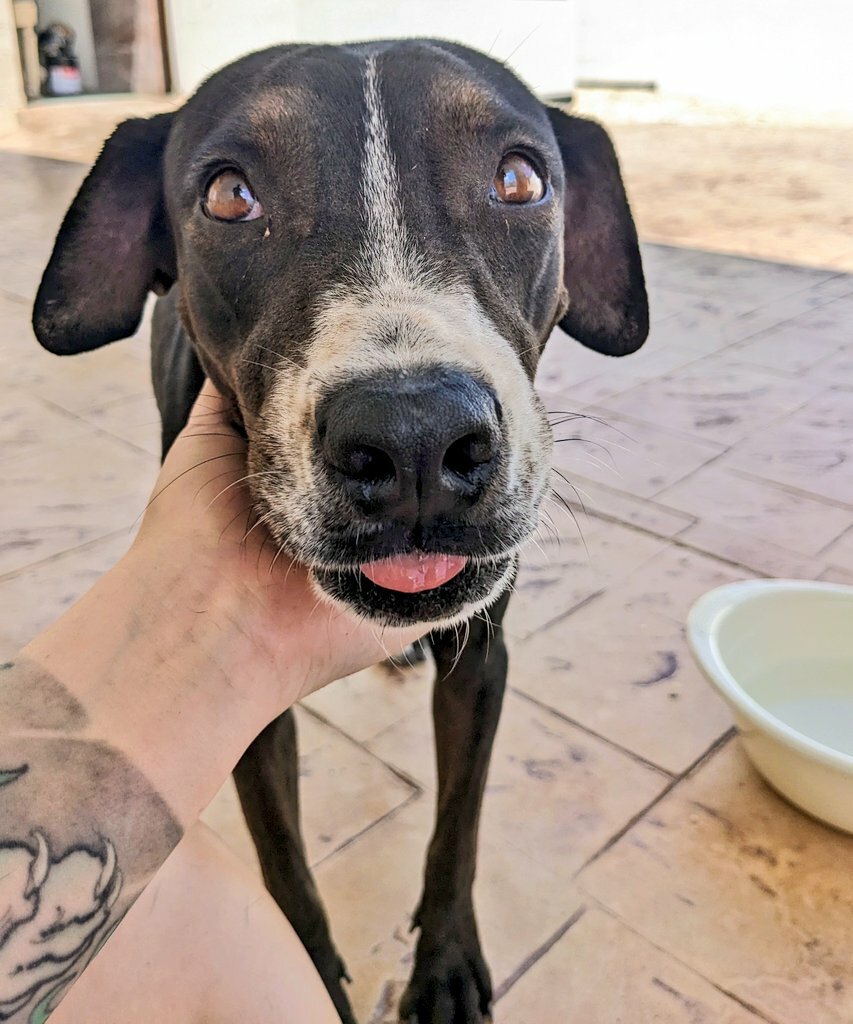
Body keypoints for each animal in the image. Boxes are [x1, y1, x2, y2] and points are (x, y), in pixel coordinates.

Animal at [33, 37, 647, 1024]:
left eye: (518, 179)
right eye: (229, 195)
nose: (414, 440)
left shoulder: (482, 660)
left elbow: (458, 827)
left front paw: (444, 966)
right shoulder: (245, 704)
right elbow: (285, 867)